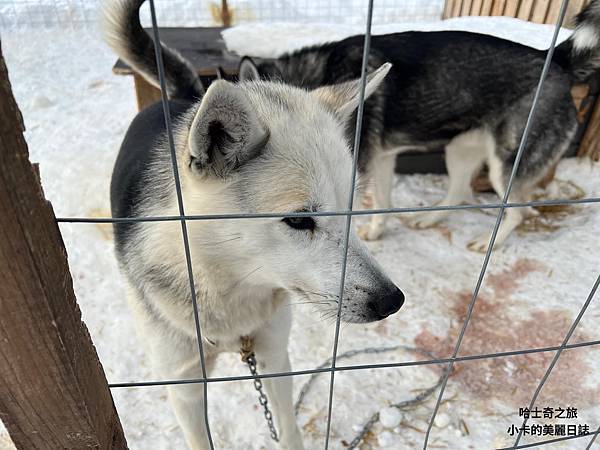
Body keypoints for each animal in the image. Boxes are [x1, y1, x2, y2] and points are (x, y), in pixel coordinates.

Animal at [103, 0, 406, 450]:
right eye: (299, 219)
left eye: (351, 207)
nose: (392, 301)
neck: (229, 294)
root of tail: (183, 100)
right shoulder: (186, 387)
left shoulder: (274, 358)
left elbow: (289, 428)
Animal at [239, 1, 600, 251]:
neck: (318, 77)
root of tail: (553, 59)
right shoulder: (381, 160)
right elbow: (382, 202)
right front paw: (377, 231)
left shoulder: (361, 164)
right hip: (459, 151)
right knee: (459, 192)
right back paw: (429, 219)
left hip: (505, 168)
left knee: (518, 212)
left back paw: (489, 243)